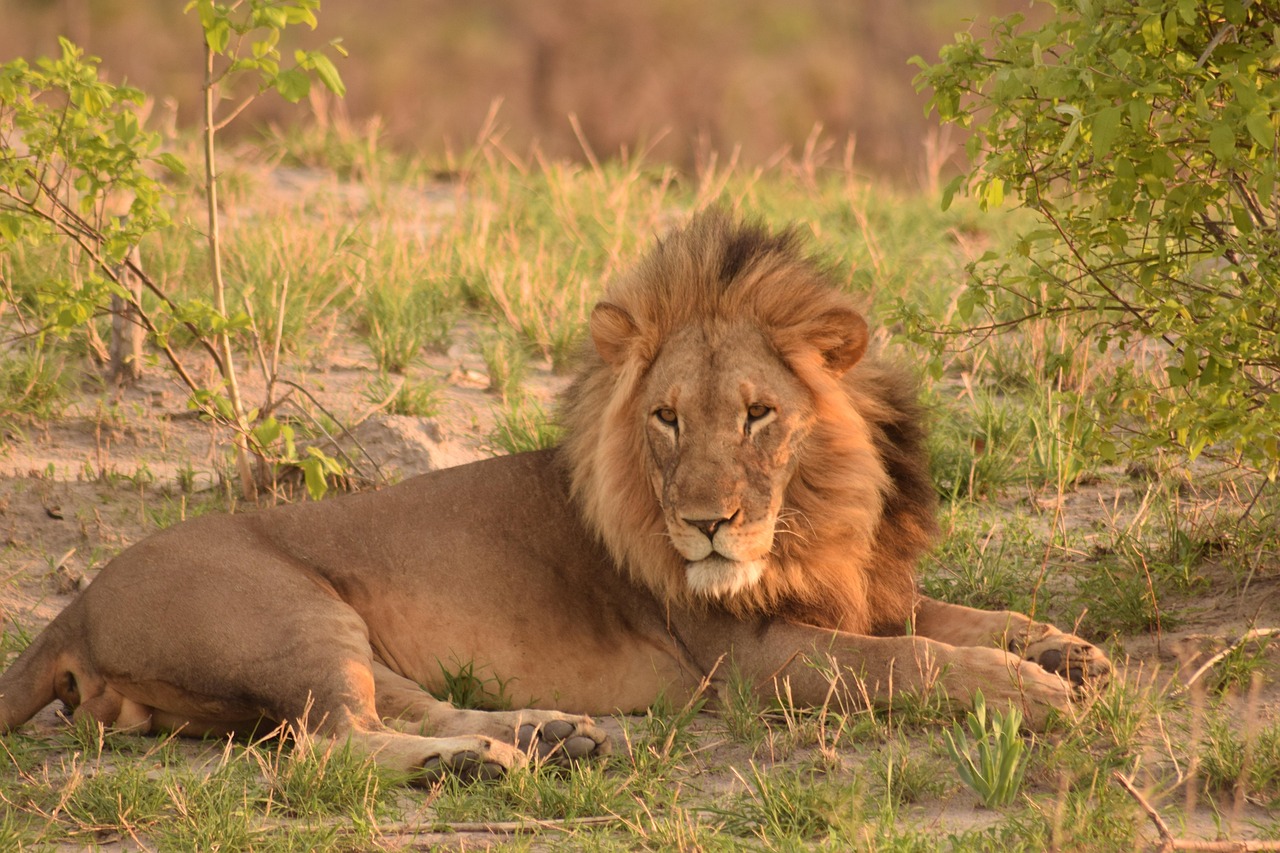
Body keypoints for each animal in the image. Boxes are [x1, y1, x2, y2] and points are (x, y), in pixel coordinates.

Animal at [0, 211, 1110, 782]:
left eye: (757, 414)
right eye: (666, 418)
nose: (705, 525)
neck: (818, 512)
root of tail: (74, 604)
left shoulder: (865, 592)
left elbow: (960, 614)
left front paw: (1069, 652)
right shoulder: (749, 658)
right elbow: (913, 658)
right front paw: (1031, 694)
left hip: (332, 633)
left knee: (394, 704)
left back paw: (548, 735)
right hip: (287, 613)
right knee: (327, 746)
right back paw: (473, 767)